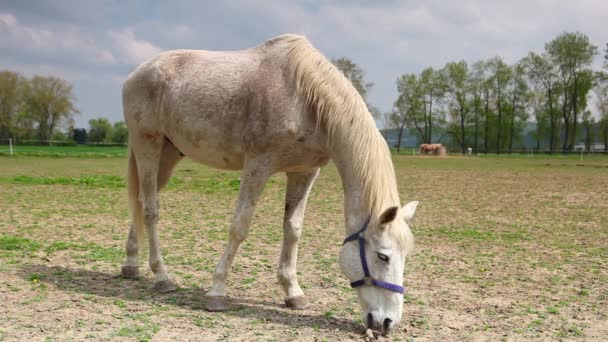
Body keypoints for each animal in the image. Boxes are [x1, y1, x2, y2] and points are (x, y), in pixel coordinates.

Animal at [122, 34, 418, 334]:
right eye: (383, 256)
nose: (388, 322)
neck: (304, 99)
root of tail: (138, 72)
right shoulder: (258, 165)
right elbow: (239, 227)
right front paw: (217, 292)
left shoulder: (304, 172)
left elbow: (293, 230)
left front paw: (293, 293)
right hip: (148, 145)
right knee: (150, 210)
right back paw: (162, 277)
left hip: (168, 154)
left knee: (140, 202)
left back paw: (131, 265)